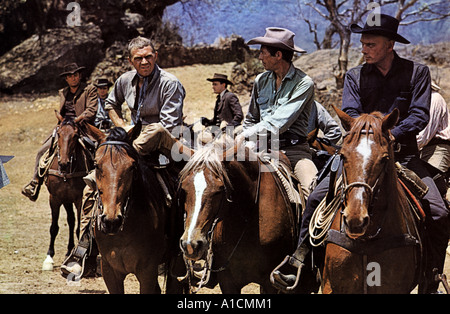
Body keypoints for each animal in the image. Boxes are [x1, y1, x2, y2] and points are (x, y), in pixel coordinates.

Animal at [41, 112, 96, 270]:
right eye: (59, 133)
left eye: (75, 135)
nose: (64, 163)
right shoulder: (55, 198)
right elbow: (54, 227)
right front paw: (49, 258)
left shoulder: (79, 199)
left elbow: (79, 228)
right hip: (65, 200)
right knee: (70, 220)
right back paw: (68, 250)